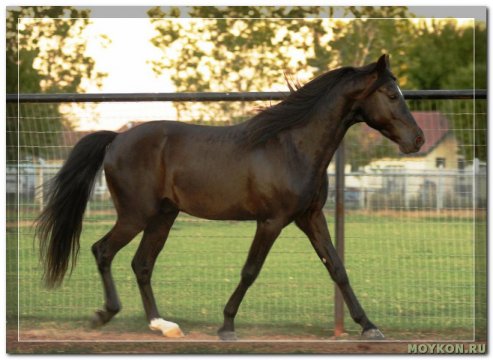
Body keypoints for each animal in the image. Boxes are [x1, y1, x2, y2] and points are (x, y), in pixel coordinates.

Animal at [37, 54, 422, 338]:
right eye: (391, 95)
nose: (417, 139)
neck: (291, 147)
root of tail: (116, 139)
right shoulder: (272, 221)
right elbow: (250, 270)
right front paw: (226, 325)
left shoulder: (309, 216)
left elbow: (337, 267)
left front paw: (369, 326)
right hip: (135, 215)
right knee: (103, 250)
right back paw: (105, 314)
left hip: (163, 216)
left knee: (142, 264)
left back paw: (163, 326)